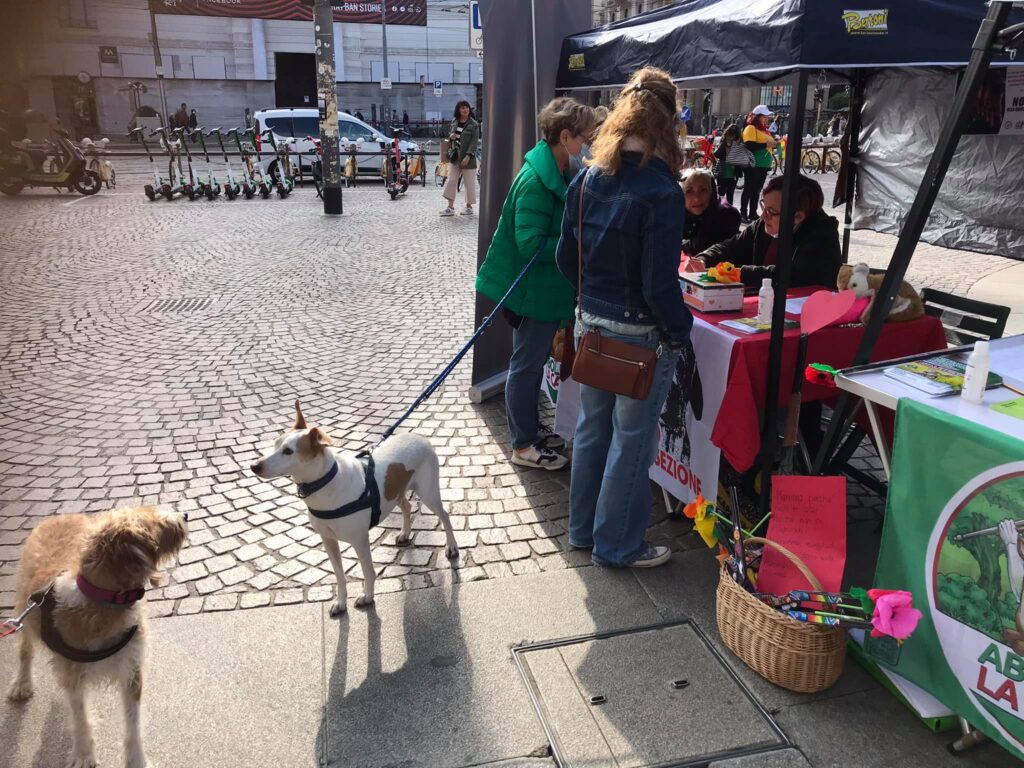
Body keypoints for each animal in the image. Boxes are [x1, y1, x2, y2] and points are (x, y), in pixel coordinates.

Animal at [5, 507, 188, 768]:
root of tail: (62, 515)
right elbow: (80, 718)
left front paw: (136, 759)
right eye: (153, 520)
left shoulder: (131, 669)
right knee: (25, 649)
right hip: (24, 607)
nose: (184, 515)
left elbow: (133, 722)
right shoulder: (73, 676)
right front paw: (84, 754)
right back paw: (21, 683)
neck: (103, 602)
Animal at [249, 405, 458, 618]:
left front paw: (367, 597)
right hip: (395, 491)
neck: (325, 485)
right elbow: (339, 575)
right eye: (275, 443)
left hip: (428, 492)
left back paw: (451, 547)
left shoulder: (360, 540)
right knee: (407, 506)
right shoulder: (328, 540)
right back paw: (405, 533)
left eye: (288, 451)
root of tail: (419, 436)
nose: (254, 466)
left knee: (445, 515)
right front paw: (341, 602)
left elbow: (368, 572)